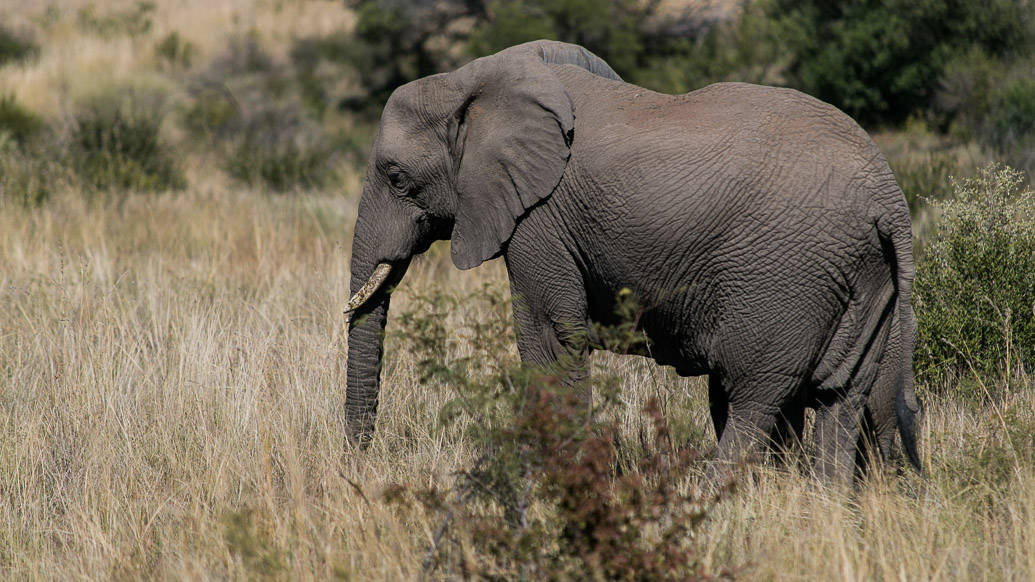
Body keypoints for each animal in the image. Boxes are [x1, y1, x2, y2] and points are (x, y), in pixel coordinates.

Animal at [345, 39, 923, 484]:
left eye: (396, 177)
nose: (359, 462)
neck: (473, 79)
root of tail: (889, 199)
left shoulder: (542, 218)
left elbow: (548, 338)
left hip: (787, 276)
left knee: (753, 394)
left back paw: (710, 497)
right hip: (863, 277)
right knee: (838, 397)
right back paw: (826, 505)